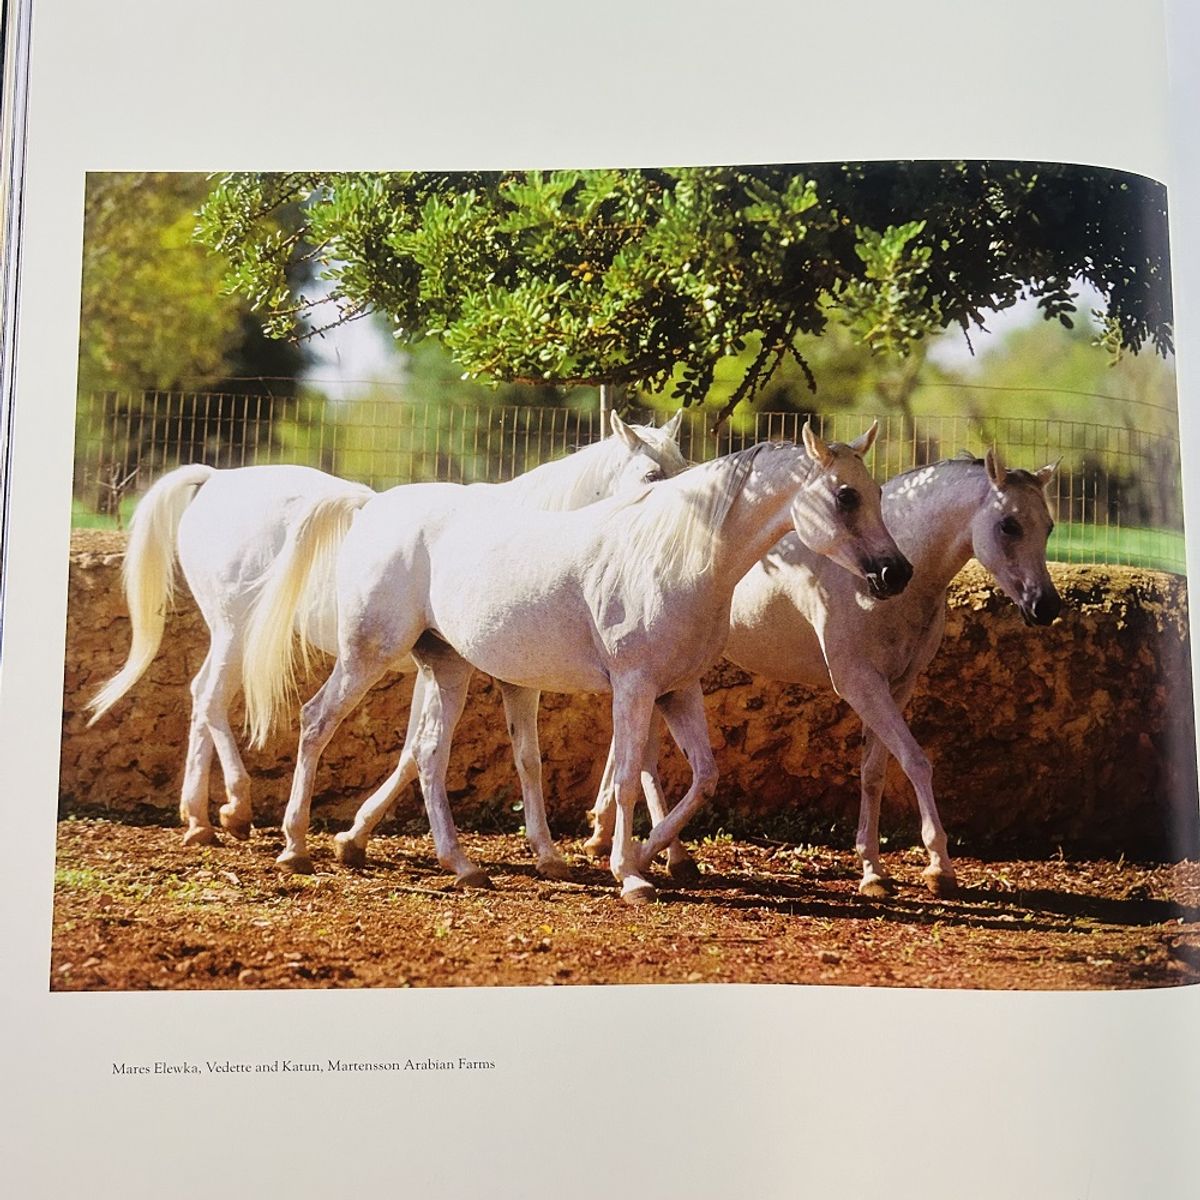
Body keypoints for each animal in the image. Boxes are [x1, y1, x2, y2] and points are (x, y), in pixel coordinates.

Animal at [87, 410, 687, 848]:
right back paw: (235, 807)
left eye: (686, 466)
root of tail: (214, 479)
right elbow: (419, 751)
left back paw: (198, 818)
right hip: (238, 631)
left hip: (228, 636)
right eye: (651, 477)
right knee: (213, 698)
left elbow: (417, 750)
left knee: (198, 697)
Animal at [242, 422, 913, 902]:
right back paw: (296, 846)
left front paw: (643, 858)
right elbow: (628, 777)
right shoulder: (634, 687)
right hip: (368, 654)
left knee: (428, 753)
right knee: (316, 721)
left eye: (878, 493)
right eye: (846, 495)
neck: (678, 556)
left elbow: (701, 776)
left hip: (447, 666)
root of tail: (374, 508)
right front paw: (630, 874)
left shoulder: (677, 690)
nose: (895, 573)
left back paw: (462, 866)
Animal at [584, 448, 1061, 898]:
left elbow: (874, 772)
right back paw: (657, 854)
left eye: (1049, 527)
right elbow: (915, 761)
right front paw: (939, 867)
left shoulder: (897, 686)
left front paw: (873, 870)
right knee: (644, 762)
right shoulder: (859, 682)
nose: (1046, 606)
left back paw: (629, 843)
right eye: (1009, 525)